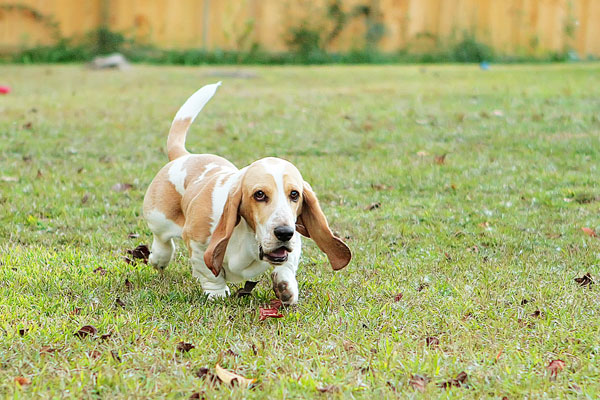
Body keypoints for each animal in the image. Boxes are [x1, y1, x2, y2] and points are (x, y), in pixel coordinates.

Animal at [142, 83, 350, 304]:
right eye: (259, 194)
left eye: (295, 194)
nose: (284, 232)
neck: (250, 236)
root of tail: (184, 156)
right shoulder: (197, 242)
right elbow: (209, 273)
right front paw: (216, 294)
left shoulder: (294, 242)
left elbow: (287, 265)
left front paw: (285, 288)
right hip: (158, 218)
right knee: (163, 241)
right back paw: (159, 258)